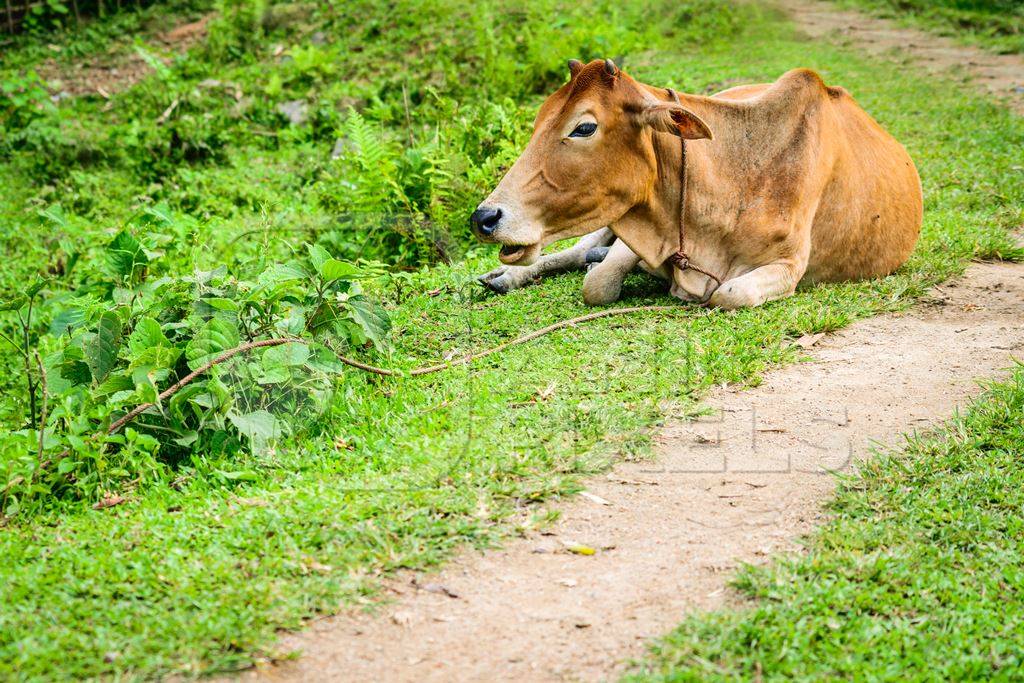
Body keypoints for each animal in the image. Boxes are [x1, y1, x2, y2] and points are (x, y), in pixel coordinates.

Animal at [468, 58, 921, 309]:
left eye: (584, 127)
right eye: (538, 120)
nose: (484, 217)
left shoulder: (789, 266)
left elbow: (727, 294)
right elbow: (598, 285)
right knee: (579, 249)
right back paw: (507, 275)